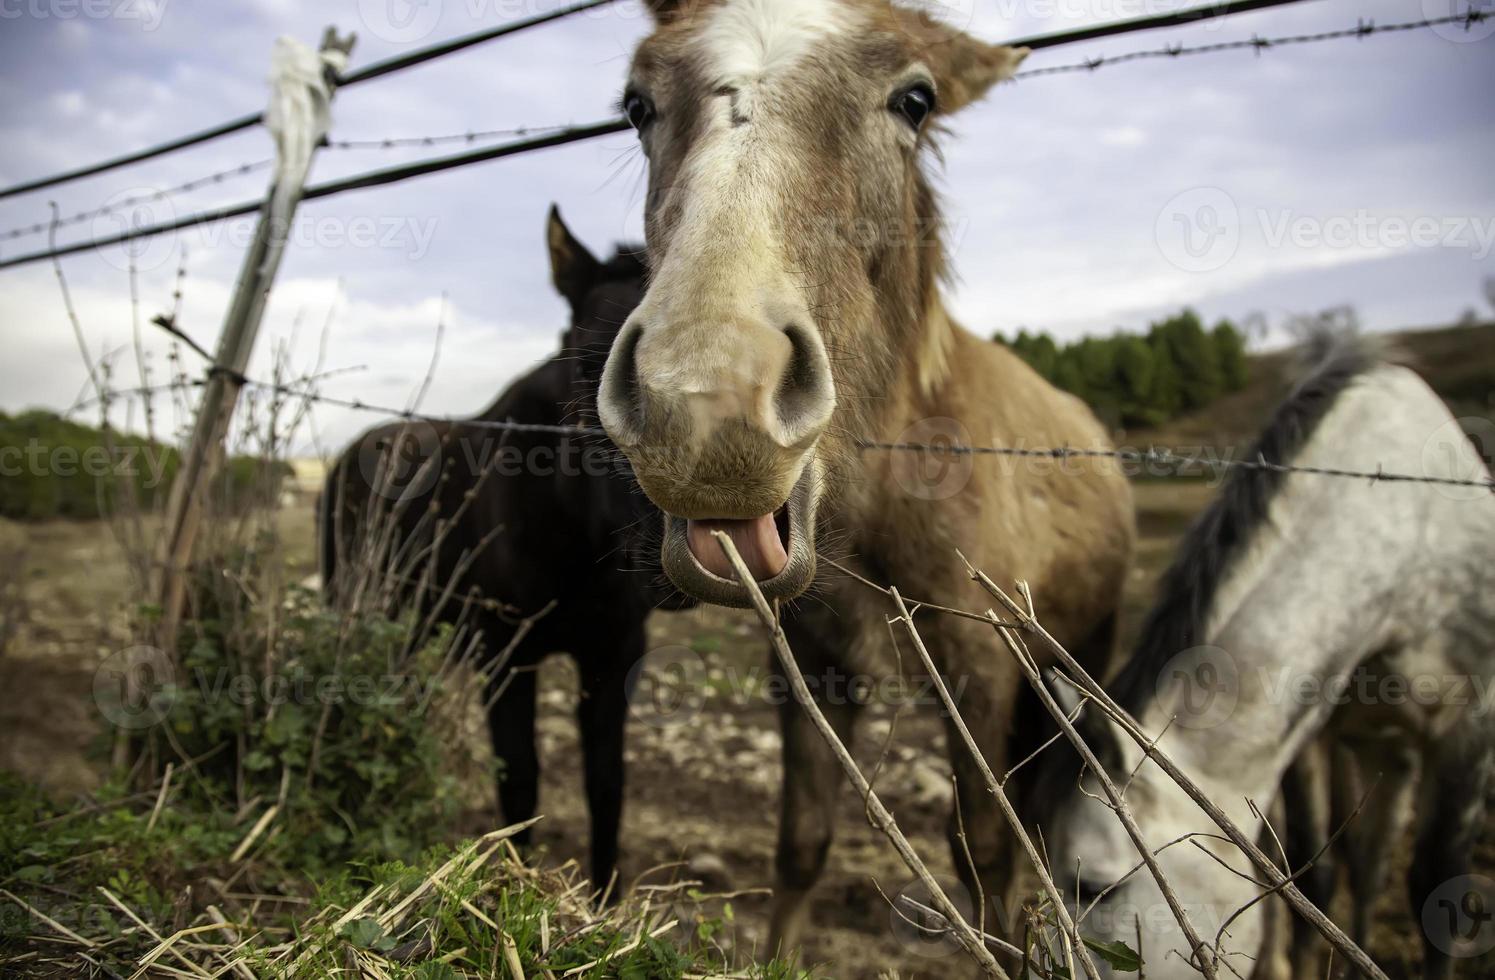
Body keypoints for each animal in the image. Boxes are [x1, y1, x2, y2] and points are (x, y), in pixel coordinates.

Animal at [595, 0, 1130, 956]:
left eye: (913, 99)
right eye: (635, 104)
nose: (708, 404)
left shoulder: (981, 670)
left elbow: (984, 852)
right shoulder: (813, 666)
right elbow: (802, 840)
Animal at [1040, 333, 1495, 974]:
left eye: (1094, 887)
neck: (1412, 538)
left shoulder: (1470, 726)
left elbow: (1436, 883)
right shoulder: (1309, 735)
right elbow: (1311, 879)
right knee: (1362, 859)